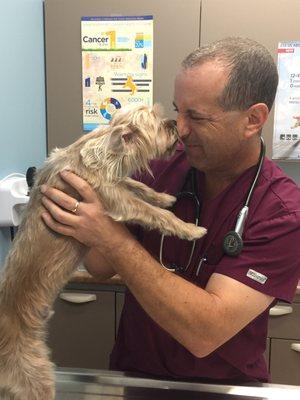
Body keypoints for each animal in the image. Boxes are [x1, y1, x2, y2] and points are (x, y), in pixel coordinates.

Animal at [0, 104, 206, 398]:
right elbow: (152, 212)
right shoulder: (115, 197)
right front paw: (189, 228)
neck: (104, 149)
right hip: (33, 376)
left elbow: (138, 185)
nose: (174, 124)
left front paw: (163, 197)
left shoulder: (117, 182)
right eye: (157, 123)